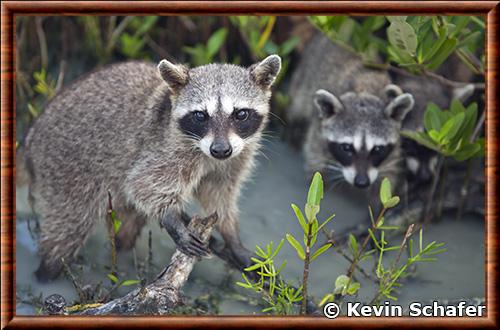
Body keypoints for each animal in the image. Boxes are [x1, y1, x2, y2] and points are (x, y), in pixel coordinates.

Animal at [23, 54, 282, 282]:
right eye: (200, 116)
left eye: (240, 114)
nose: (220, 150)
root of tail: (32, 135)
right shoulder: (164, 148)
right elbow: (142, 184)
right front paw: (171, 218)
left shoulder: (235, 157)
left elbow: (219, 195)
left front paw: (232, 236)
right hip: (66, 168)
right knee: (68, 226)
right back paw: (46, 271)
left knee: (128, 220)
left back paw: (121, 245)